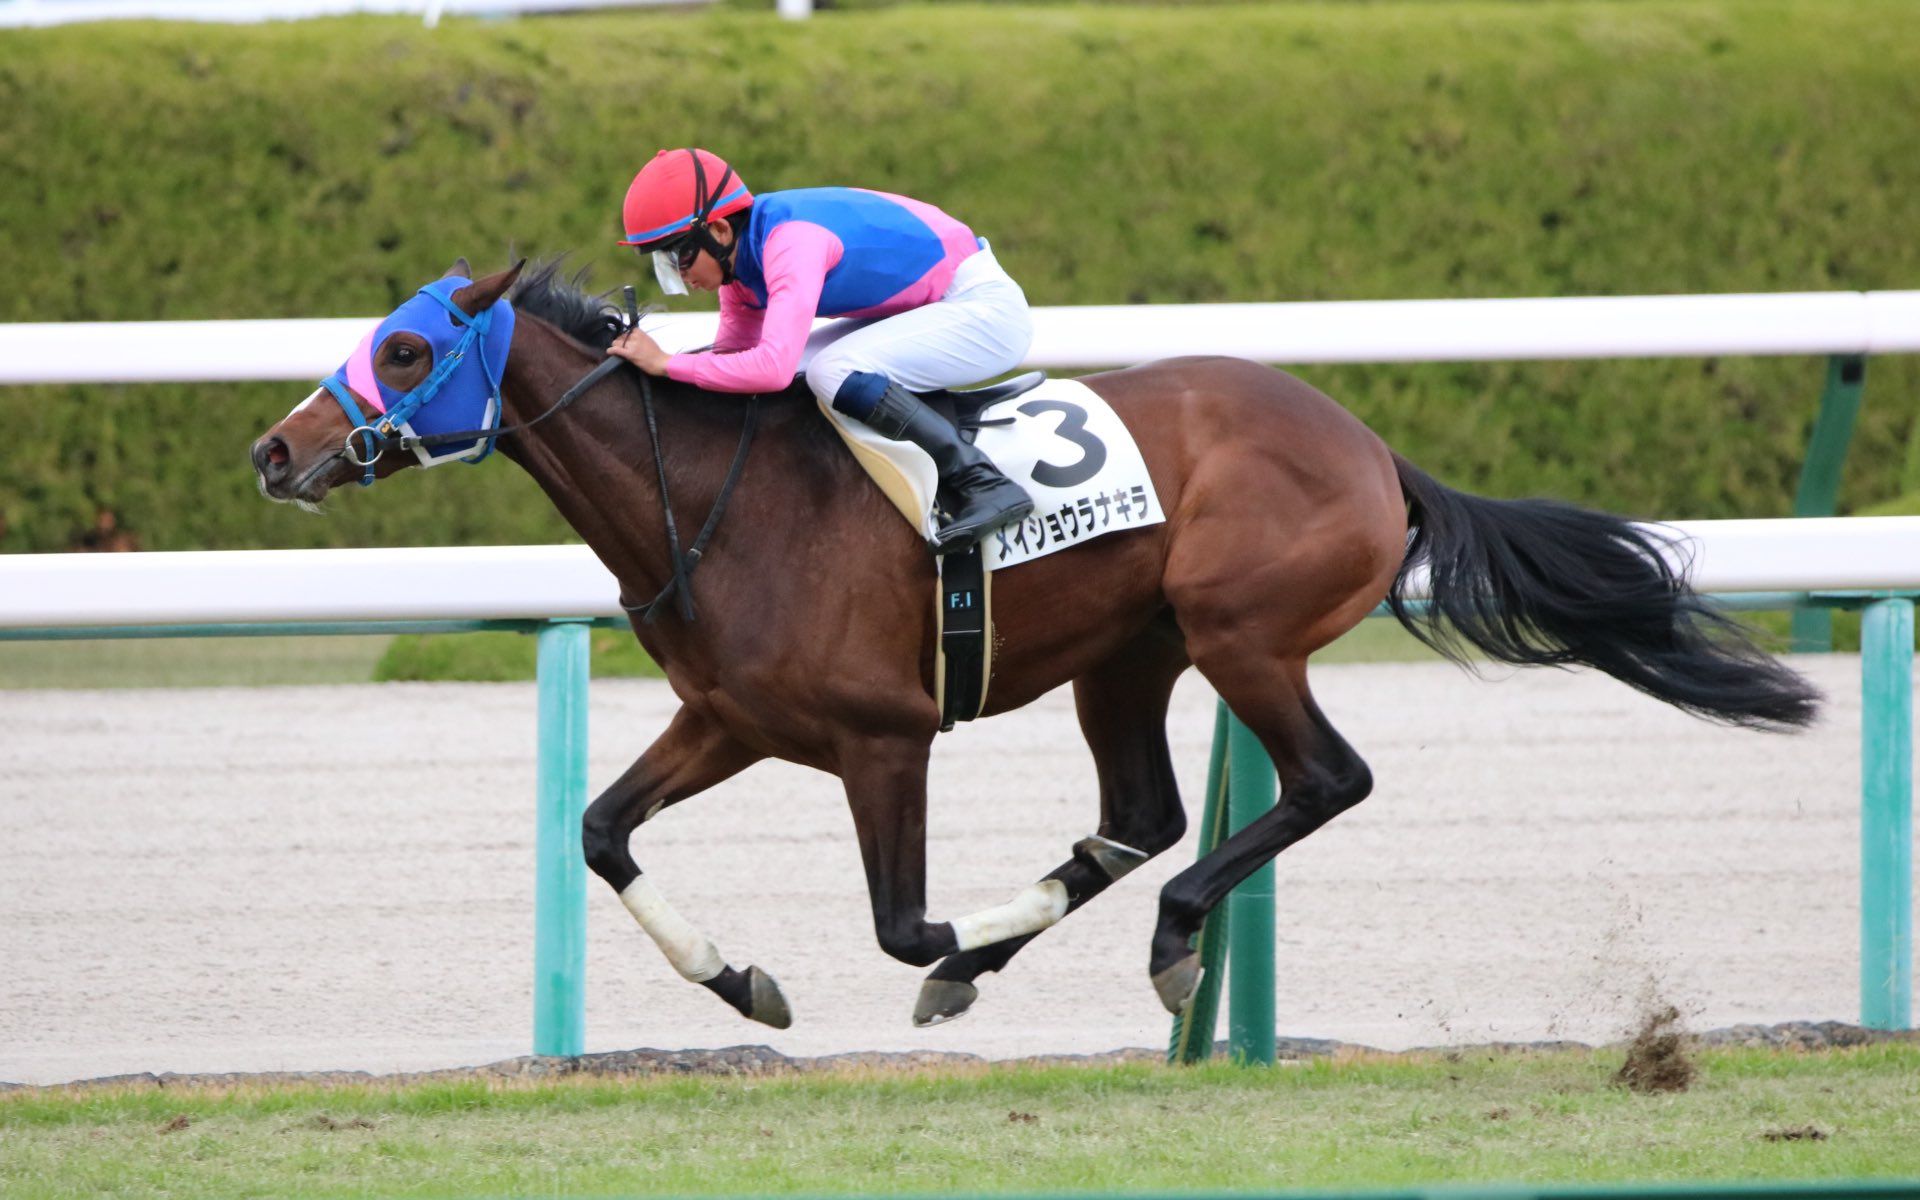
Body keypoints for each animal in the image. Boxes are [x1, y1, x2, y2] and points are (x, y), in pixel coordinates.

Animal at [251, 259, 1819, 1031]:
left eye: (405, 352)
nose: (275, 450)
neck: (718, 498)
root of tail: (1372, 448)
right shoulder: (735, 719)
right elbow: (598, 830)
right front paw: (742, 984)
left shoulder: (882, 736)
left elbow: (904, 924)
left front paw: (951, 954)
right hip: (1129, 657)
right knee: (1145, 811)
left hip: (1245, 633)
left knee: (1321, 784)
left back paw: (1177, 938)